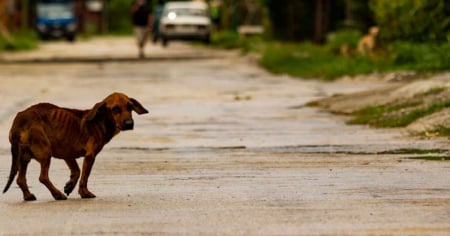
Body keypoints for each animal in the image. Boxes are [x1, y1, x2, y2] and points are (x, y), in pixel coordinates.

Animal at [2, 92, 149, 201]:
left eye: (130, 107)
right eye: (116, 109)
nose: (129, 124)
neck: (99, 121)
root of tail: (19, 121)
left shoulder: (67, 154)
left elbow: (77, 171)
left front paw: (69, 186)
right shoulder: (90, 156)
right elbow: (84, 176)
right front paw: (84, 193)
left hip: (23, 158)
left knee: (20, 179)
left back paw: (28, 196)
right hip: (45, 152)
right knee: (42, 177)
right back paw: (57, 194)